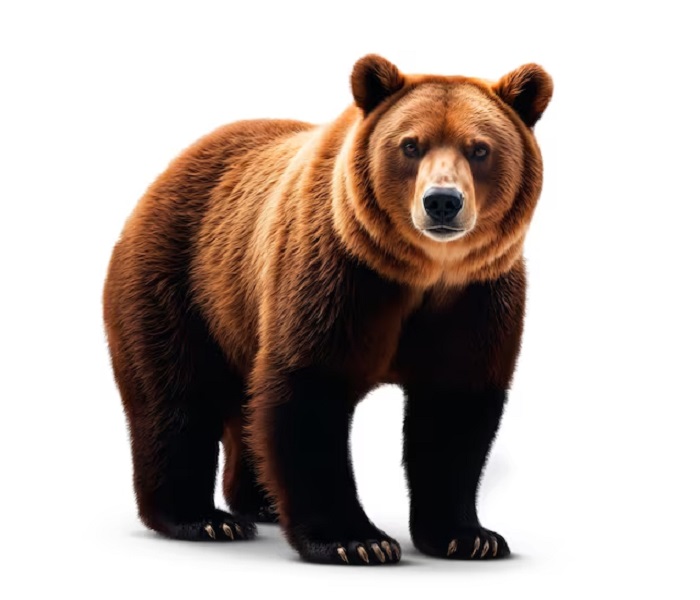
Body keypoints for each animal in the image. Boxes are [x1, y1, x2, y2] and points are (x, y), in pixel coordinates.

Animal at [103, 54, 552, 565]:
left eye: (479, 149)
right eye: (410, 145)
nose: (442, 201)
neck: (423, 274)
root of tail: (166, 172)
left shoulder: (476, 296)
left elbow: (454, 406)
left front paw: (471, 536)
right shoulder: (337, 274)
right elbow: (309, 393)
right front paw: (357, 540)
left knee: (243, 406)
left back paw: (259, 502)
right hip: (181, 280)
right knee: (176, 397)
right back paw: (204, 519)